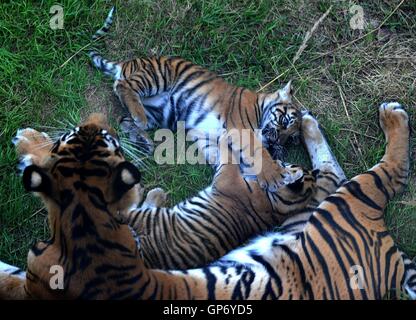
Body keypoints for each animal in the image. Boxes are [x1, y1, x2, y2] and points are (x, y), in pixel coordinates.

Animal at [1, 102, 414, 300]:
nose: (279, 139)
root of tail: (393, 255)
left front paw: (28, 142)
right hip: (321, 199)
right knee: (330, 166)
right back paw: (309, 123)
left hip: (351, 198)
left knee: (392, 173)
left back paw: (392, 115)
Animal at [89, 6, 300, 191]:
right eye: (284, 122)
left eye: (288, 140)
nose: (275, 143)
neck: (260, 106)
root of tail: (127, 62)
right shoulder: (242, 130)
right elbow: (257, 151)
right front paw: (274, 176)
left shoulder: (206, 137)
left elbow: (225, 157)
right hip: (158, 75)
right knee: (122, 86)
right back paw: (138, 117)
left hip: (159, 113)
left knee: (123, 118)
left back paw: (144, 140)